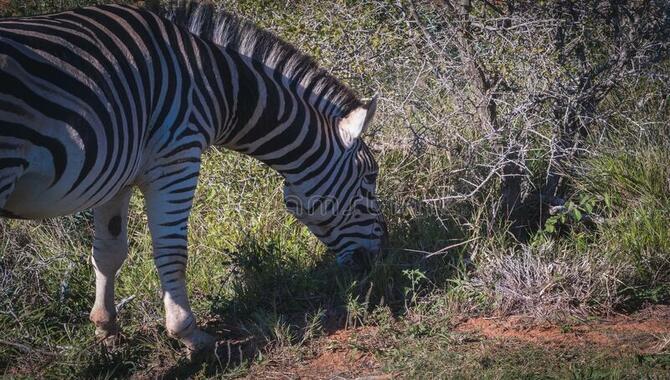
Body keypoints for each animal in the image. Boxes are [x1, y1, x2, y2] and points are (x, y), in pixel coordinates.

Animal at [0, 2, 386, 354]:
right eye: (370, 176)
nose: (375, 260)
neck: (217, 86)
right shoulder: (177, 159)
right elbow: (172, 252)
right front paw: (188, 334)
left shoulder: (116, 176)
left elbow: (109, 251)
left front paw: (106, 328)